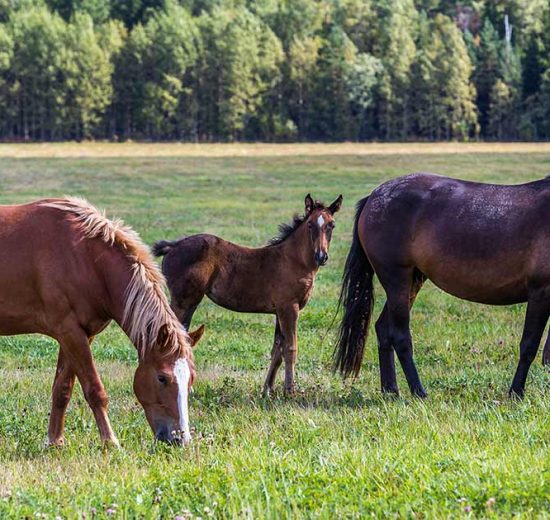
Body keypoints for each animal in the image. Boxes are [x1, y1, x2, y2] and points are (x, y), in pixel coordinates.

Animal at [0, 199, 205, 446]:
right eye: (162, 378)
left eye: (191, 378)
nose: (180, 438)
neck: (85, 258)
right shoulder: (70, 333)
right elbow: (94, 390)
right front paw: (110, 442)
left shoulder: (79, 335)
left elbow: (62, 389)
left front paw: (55, 442)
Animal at [155, 194, 342, 394]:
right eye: (310, 225)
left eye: (331, 225)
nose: (321, 256)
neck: (294, 260)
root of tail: (173, 246)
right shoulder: (289, 308)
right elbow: (291, 348)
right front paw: (289, 391)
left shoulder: (279, 311)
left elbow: (277, 350)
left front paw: (267, 390)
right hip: (183, 301)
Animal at [334, 175, 550, 398]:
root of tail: (373, 197)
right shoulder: (541, 292)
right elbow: (529, 346)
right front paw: (516, 392)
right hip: (397, 281)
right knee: (400, 336)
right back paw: (419, 392)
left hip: (413, 282)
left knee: (383, 329)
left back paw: (391, 391)